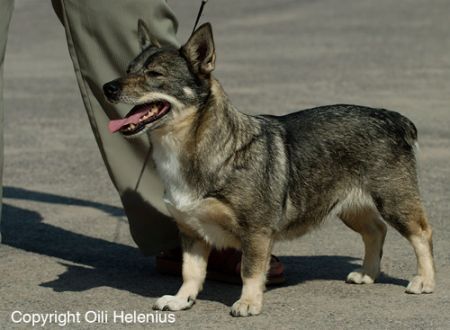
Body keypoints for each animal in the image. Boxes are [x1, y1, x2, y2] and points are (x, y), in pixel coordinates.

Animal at [103, 20, 434, 318]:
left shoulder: (256, 233)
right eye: (129, 69)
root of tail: (393, 117)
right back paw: (367, 273)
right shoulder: (192, 233)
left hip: (394, 202)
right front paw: (181, 299)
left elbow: (250, 271)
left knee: (422, 234)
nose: (108, 87)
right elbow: (190, 272)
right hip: (350, 206)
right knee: (376, 231)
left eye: (154, 75)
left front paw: (249, 303)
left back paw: (425, 281)